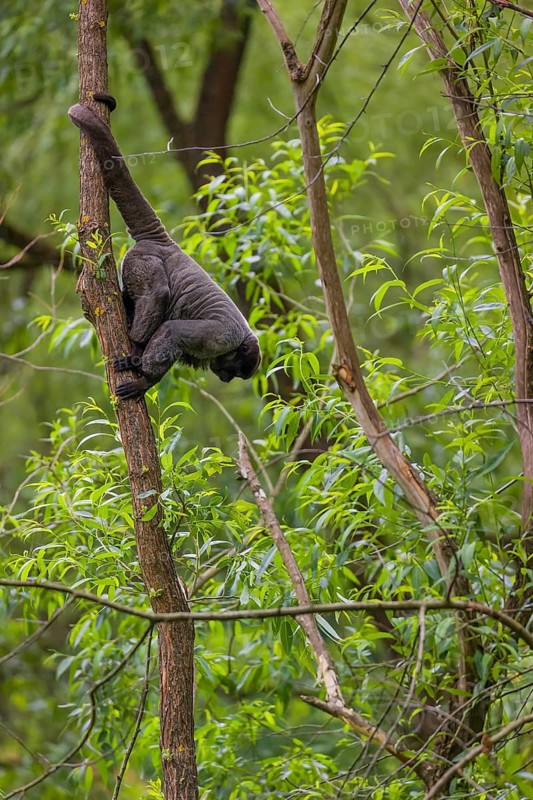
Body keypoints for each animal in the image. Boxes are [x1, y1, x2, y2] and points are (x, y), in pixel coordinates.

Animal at [68, 96, 261, 400]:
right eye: (236, 370)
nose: (227, 378)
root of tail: (165, 242)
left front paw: (144, 381)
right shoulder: (218, 339)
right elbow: (172, 331)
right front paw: (141, 370)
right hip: (143, 261)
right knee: (157, 293)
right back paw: (135, 343)